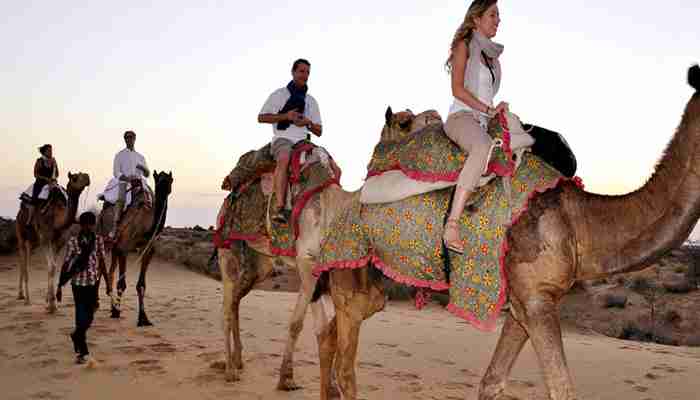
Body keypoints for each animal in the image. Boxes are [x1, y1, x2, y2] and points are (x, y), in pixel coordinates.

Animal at [14, 172, 91, 312]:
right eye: (75, 178)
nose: (87, 177)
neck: (56, 219)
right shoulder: (45, 238)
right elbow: (51, 266)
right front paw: (52, 305)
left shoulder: (59, 242)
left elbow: (54, 266)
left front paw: (49, 301)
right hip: (21, 234)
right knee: (24, 261)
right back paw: (26, 299)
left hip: (34, 242)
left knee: (24, 262)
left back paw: (21, 295)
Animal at [99, 170, 173, 326]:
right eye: (158, 180)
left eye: (170, 180)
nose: (164, 190)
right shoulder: (124, 248)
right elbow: (122, 283)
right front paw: (117, 312)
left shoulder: (148, 250)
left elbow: (141, 285)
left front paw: (143, 318)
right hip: (102, 238)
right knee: (100, 268)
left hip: (114, 247)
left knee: (110, 272)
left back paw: (111, 306)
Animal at [314, 66, 700, 400]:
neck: (580, 223)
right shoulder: (536, 300)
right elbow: (562, 389)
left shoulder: (525, 302)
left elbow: (492, 382)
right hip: (350, 271)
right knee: (345, 367)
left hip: (371, 288)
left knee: (329, 337)